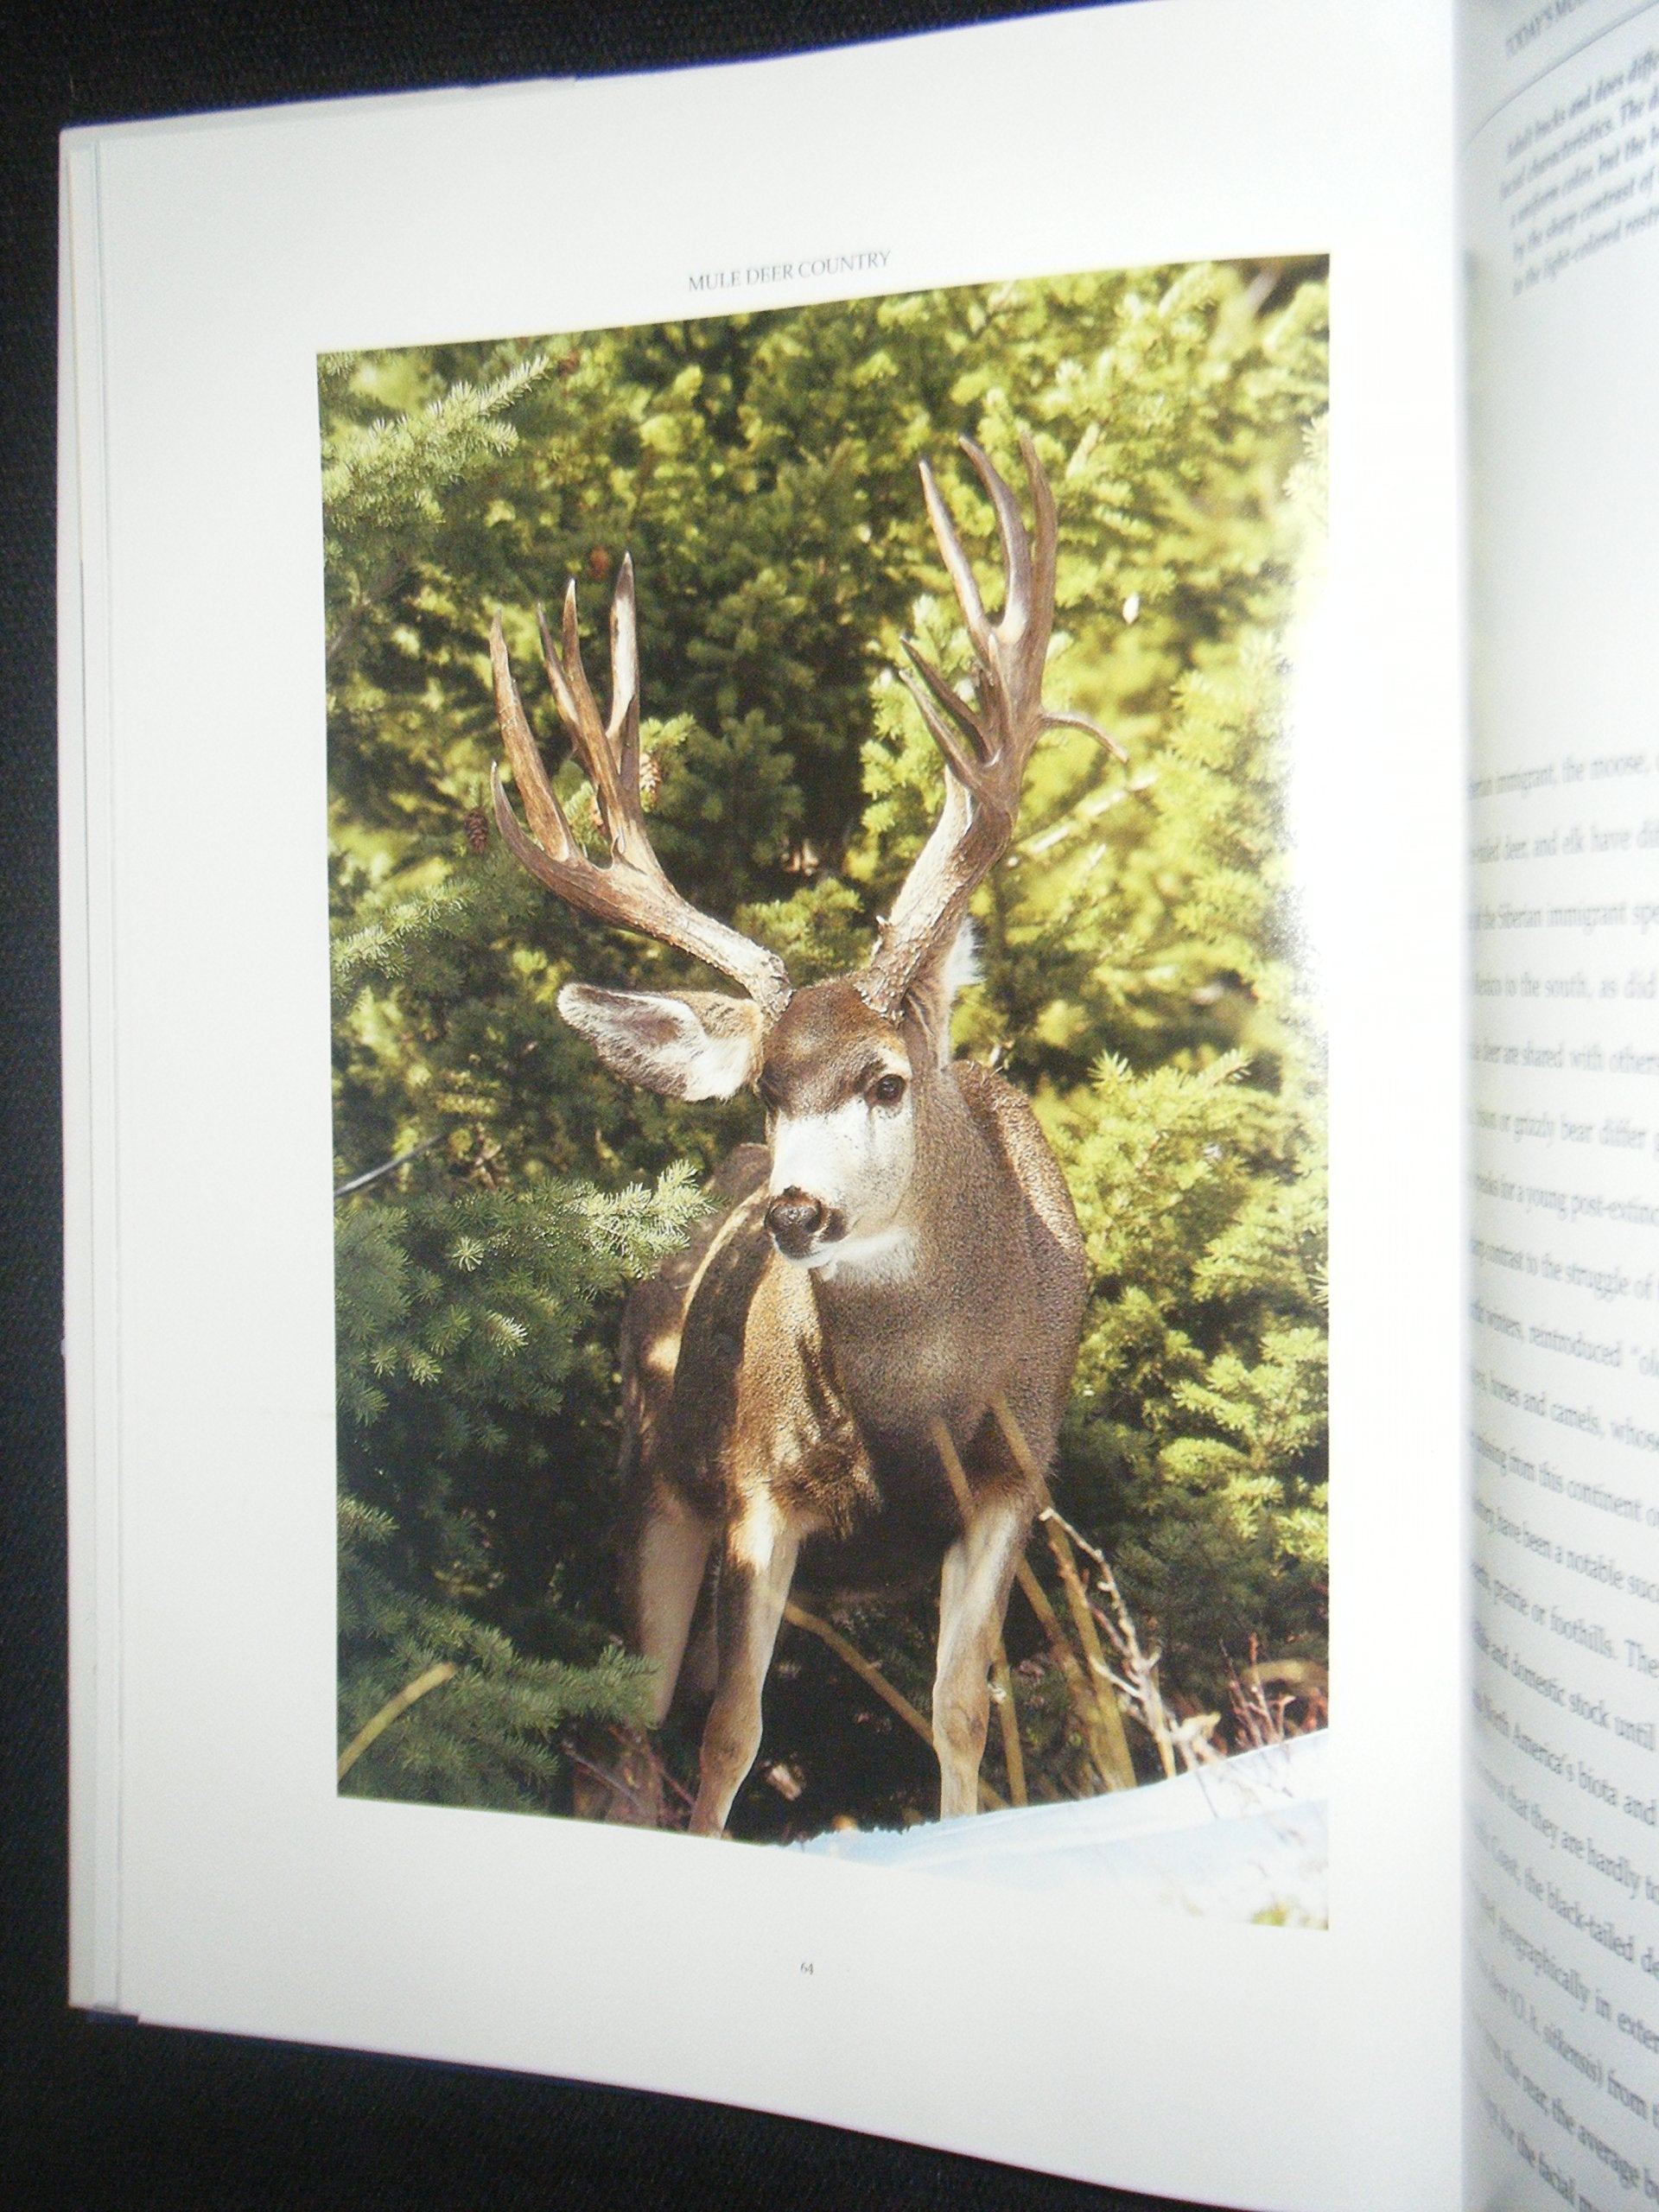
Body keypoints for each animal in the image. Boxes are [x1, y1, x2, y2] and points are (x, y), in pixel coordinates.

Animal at [489, 433, 1123, 1838]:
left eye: (886, 1081)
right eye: (768, 1092)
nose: (793, 1211)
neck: (911, 1405)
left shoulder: (1015, 1475)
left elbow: (960, 1714)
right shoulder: (753, 1488)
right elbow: (733, 1731)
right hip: (647, 1488)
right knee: (626, 1737)